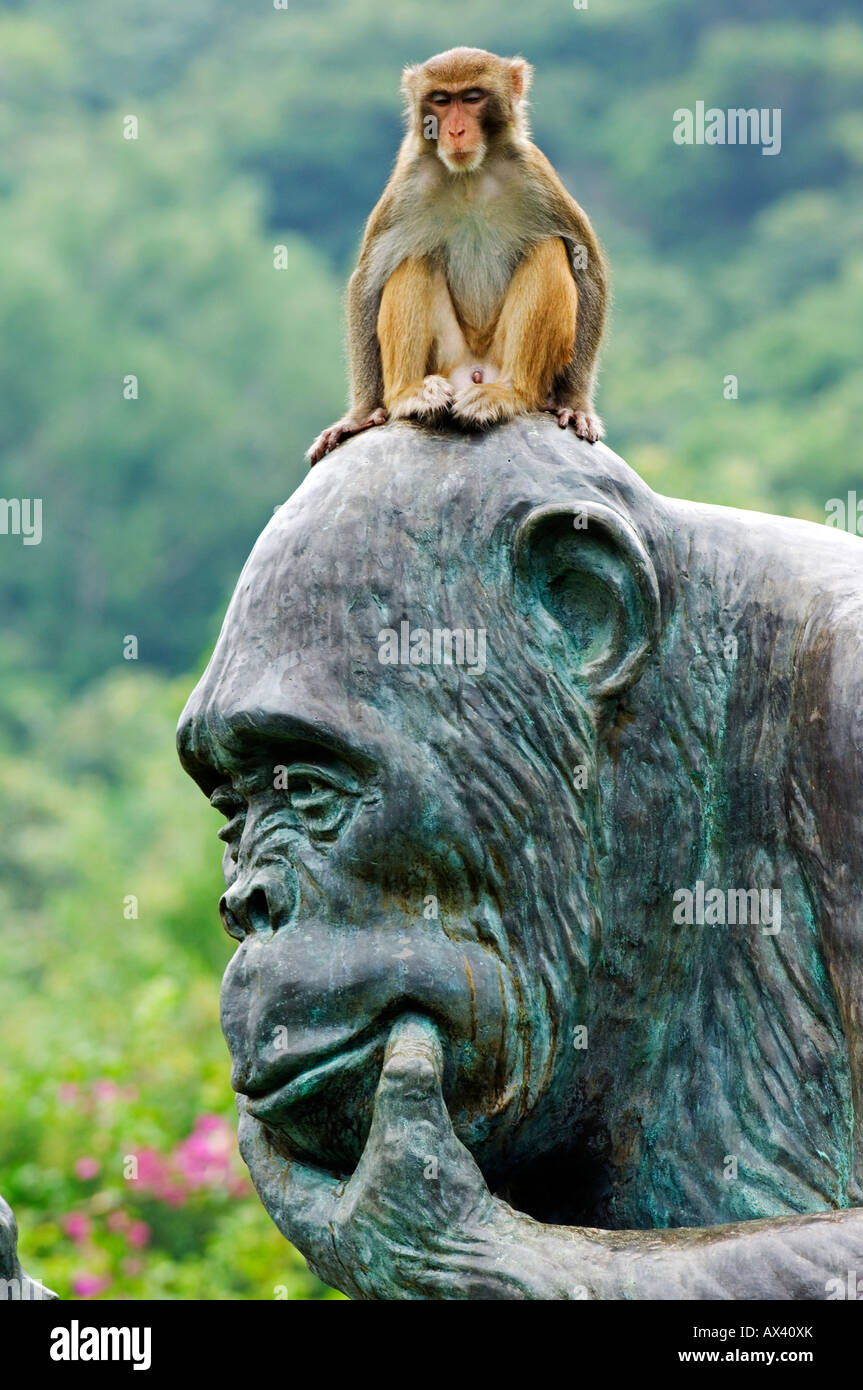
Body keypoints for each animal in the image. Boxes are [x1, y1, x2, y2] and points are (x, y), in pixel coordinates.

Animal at [308, 46, 605, 467]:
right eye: (441, 100)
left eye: (472, 97)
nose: (455, 130)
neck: (469, 175)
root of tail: (475, 371)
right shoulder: (409, 181)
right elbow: (368, 280)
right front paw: (361, 414)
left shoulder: (534, 173)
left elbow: (586, 264)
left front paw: (575, 403)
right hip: (448, 361)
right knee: (414, 258)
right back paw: (409, 395)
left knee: (548, 249)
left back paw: (508, 393)